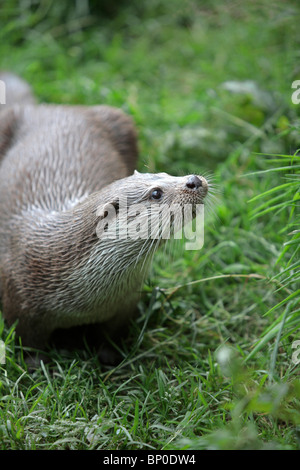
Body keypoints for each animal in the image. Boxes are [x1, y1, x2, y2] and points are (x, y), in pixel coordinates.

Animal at [0, 71, 209, 354]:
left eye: (166, 173)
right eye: (156, 193)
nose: (194, 180)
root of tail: (46, 108)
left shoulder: (125, 304)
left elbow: (112, 335)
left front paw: (110, 355)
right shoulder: (18, 301)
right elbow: (28, 345)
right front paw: (37, 362)